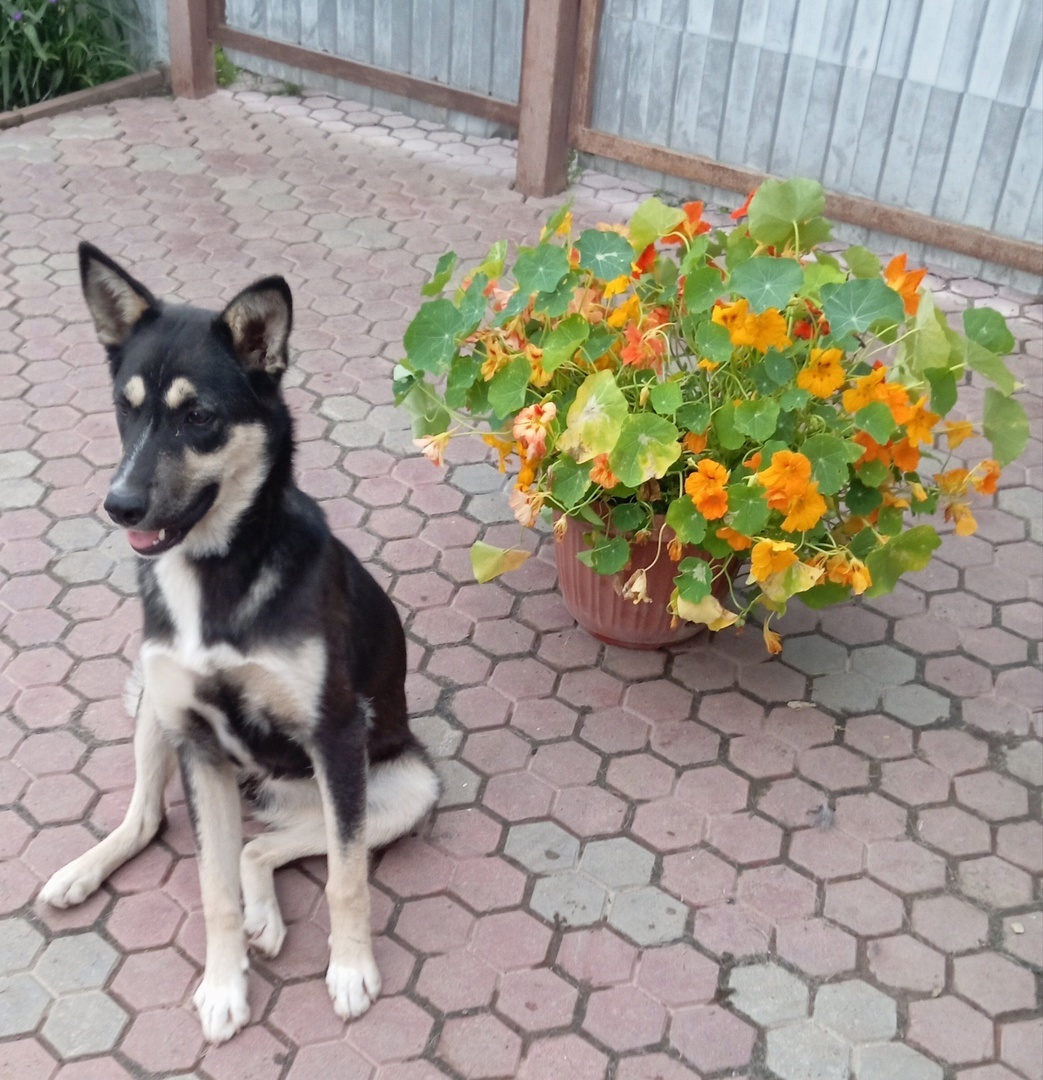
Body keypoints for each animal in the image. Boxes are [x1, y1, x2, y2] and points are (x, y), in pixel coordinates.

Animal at [39, 240, 440, 1041]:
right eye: (124, 409)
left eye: (198, 416)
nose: (118, 504)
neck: (218, 574)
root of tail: (274, 793)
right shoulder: (197, 742)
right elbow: (211, 886)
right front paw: (224, 987)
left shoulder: (336, 734)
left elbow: (347, 880)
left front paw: (351, 971)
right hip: (157, 710)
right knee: (151, 818)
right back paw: (83, 872)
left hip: (400, 787)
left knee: (276, 844)